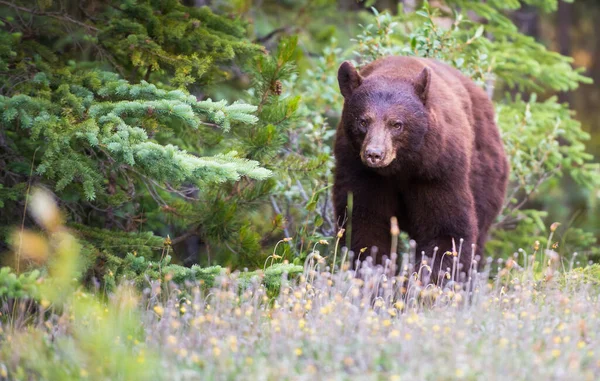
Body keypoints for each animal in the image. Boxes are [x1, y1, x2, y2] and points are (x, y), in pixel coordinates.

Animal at [336, 57, 508, 282]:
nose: (374, 154)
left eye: (396, 124)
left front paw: (423, 282)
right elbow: (365, 223)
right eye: (363, 121)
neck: (399, 168)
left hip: (485, 174)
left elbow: (447, 229)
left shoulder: (438, 170)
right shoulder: (358, 170)